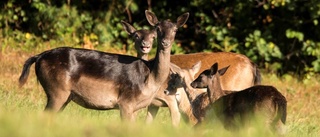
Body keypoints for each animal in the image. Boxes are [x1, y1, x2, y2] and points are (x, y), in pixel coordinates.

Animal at [18, 10, 190, 122]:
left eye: (175, 29)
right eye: (158, 29)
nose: (165, 42)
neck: (149, 79)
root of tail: (38, 57)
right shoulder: (126, 102)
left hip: (65, 96)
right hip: (56, 91)